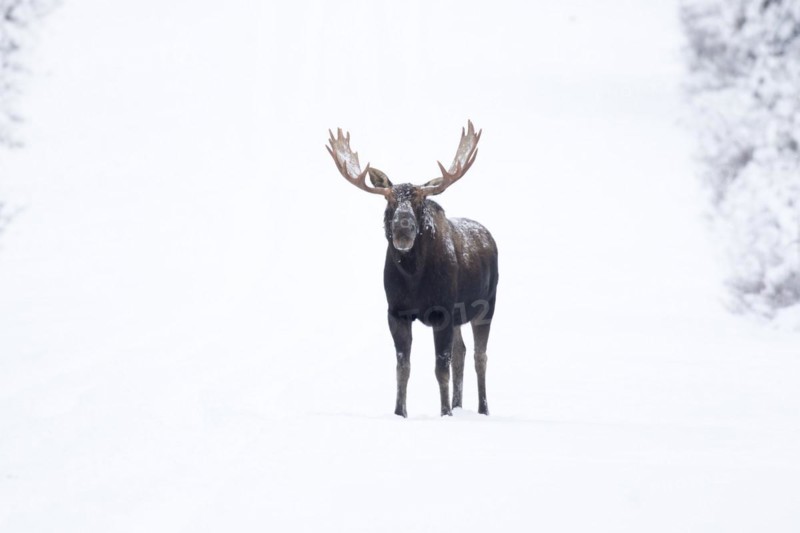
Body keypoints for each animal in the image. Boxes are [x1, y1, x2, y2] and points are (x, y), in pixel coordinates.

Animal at [326, 121, 498, 417]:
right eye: (389, 201)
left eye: (418, 202)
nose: (403, 229)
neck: (414, 279)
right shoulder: (396, 312)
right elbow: (403, 366)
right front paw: (400, 412)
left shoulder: (442, 312)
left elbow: (440, 368)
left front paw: (445, 413)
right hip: (460, 314)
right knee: (461, 352)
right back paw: (458, 405)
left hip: (486, 304)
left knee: (480, 355)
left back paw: (482, 410)